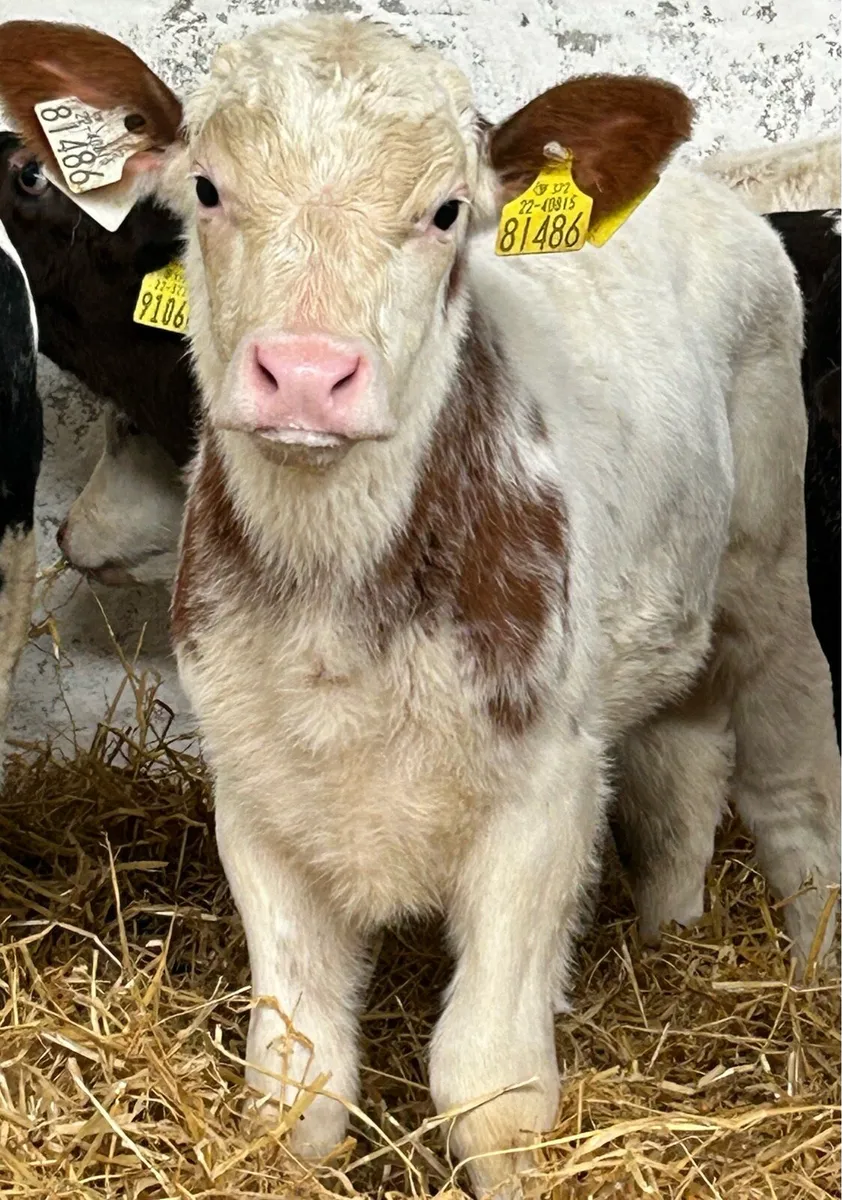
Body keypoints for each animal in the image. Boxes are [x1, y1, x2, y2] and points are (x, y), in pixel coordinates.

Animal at [0, 18, 839, 1197]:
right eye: (205, 188)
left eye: (446, 211)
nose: (307, 373)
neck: (338, 605)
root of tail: (709, 192)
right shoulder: (253, 791)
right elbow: (295, 1080)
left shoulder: (542, 793)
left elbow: (488, 1085)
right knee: (681, 772)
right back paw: (671, 943)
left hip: (770, 573)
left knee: (791, 793)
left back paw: (806, 976)